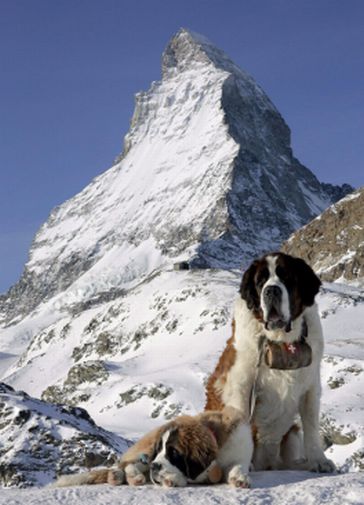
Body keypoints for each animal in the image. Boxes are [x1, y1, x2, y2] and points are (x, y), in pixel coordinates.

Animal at [55, 406, 253, 488]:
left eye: (174, 452)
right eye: (160, 450)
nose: (154, 466)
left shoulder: (240, 450)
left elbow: (238, 466)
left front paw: (239, 478)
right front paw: (172, 479)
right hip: (144, 450)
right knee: (125, 464)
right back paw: (123, 476)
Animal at [205, 251, 336, 472]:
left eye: (287, 277)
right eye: (260, 282)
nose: (271, 290)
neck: (280, 340)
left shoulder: (310, 385)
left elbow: (311, 426)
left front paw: (319, 460)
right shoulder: (241, 385)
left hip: (291, 434)